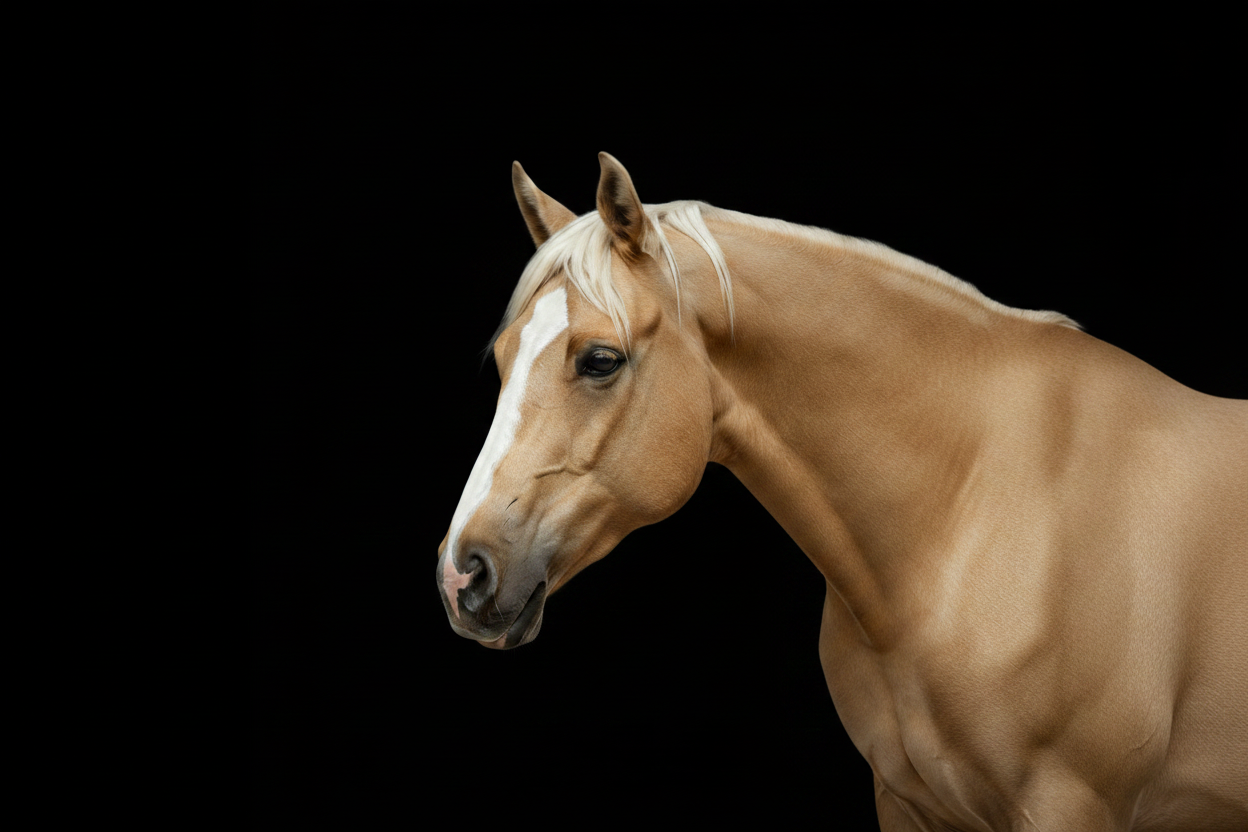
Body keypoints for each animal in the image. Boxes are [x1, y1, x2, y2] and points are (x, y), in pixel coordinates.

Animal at [436, 153, 1247, 830]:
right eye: (505, 357)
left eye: (600, 359)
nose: (461, 574)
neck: (971, 509)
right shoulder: (906, 804)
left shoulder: (1066, 807)